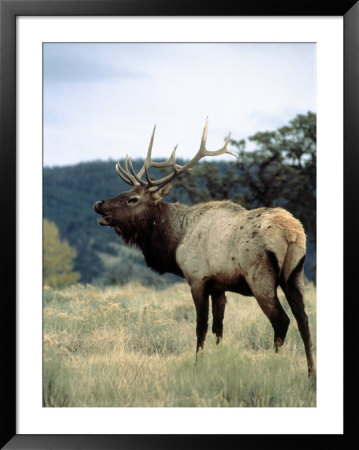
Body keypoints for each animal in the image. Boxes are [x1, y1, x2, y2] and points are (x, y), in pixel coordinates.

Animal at [94, 119, 316, 386]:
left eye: (133, 198)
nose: (98, 204)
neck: (175, 241)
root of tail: (291, 232)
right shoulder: (219, 286)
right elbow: (218, 329)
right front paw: (218, 364)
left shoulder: (198, 278)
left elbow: (200, 327)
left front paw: (197, 367)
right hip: (295, 273)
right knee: (304, 320)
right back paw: (311, 377)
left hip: (259, 275)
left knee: (281, 320)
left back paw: (275, 371)